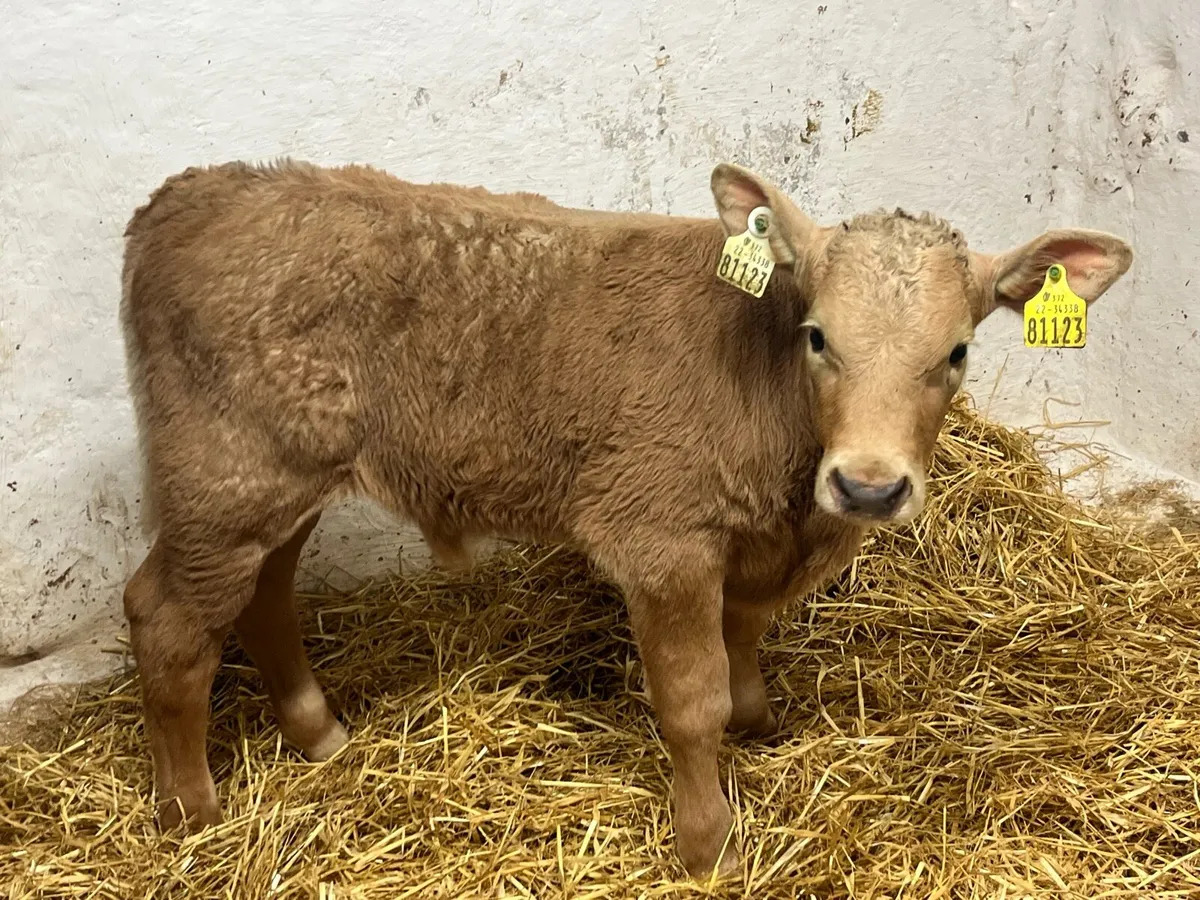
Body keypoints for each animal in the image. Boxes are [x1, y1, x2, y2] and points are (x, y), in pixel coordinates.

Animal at [118, 158, 1132, 878]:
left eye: (956, 353)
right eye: (818, 337)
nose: (870, 488)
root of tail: (194, 191)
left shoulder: (753, 544)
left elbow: (743, 639)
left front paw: (759, 721)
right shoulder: (662, 539)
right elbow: (690, 698)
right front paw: (707, 842)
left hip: (281, 482)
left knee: (262, 599)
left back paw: (316, 733)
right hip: (225, 475)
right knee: (167, 619)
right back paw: (190, 816)